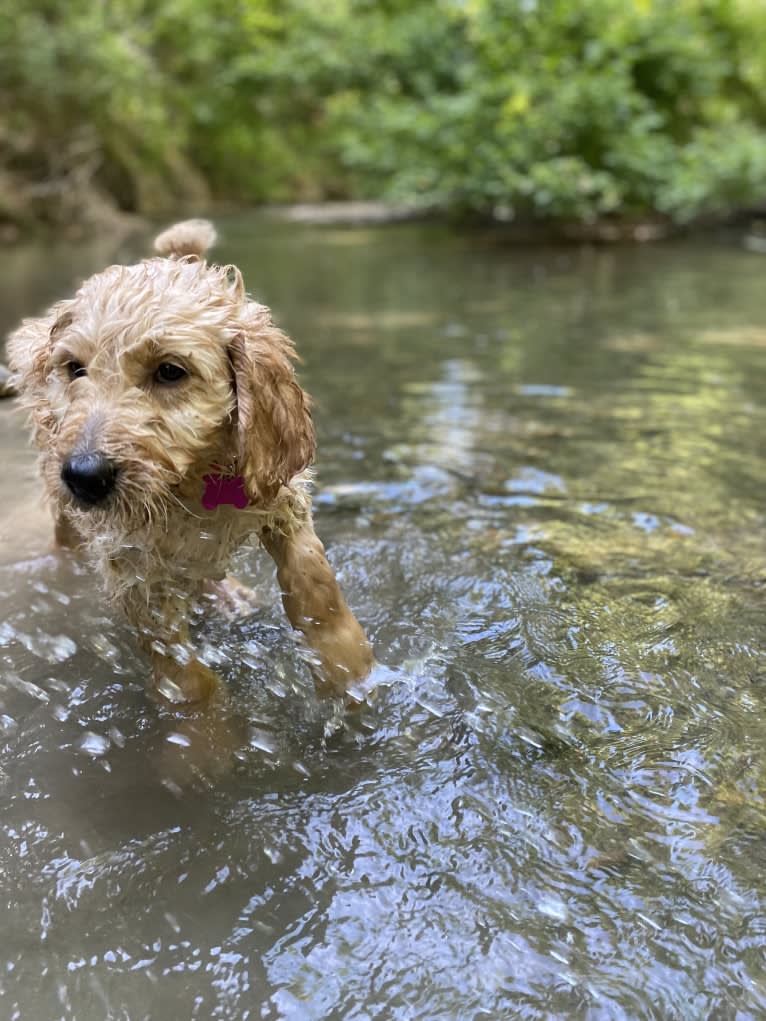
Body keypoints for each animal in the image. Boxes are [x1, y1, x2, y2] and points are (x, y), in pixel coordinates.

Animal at [6, 220, 375, 706]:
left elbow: (314, 579)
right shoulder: (130, 566)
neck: (192, 482)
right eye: (74, 369)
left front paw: (346, 664)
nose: (83, 477)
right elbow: (182, 672)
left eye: (170, 371)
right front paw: (205, 720)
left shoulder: (281, 498)